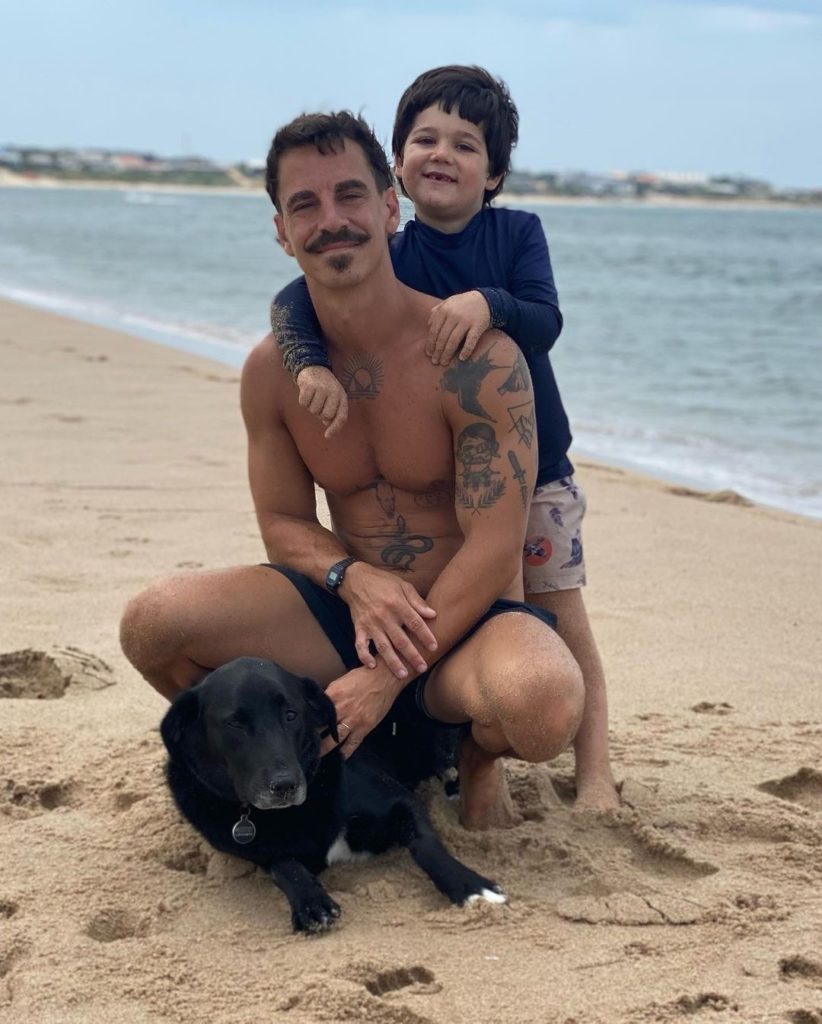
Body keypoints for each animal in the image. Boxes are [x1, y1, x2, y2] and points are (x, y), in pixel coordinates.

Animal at [160, 656, 506, 933]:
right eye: (234, 723)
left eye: (291, 715)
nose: (285, 785)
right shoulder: (259, 852)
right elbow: (285, 866)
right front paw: (311, 902)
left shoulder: (399, 801)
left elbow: (426, 843)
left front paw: (470, 887)